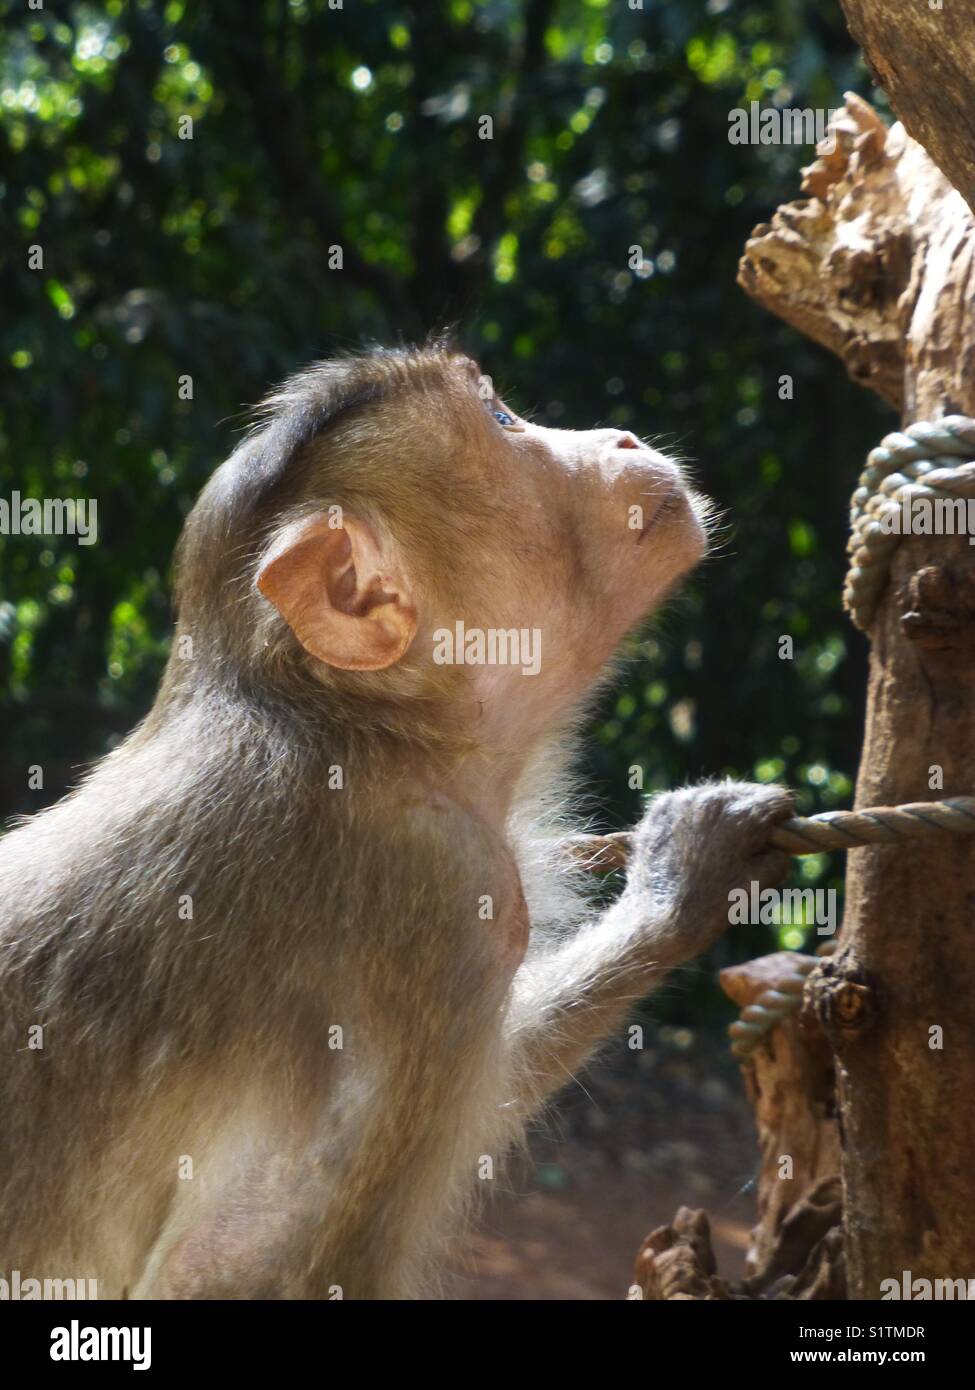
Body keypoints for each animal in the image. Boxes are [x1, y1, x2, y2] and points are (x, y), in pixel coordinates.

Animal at [0, 342, 791, 1300]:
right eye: (502, 421)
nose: (621, 437)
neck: (358, 736)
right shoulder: (442, 913)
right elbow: (227, 1266)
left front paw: (682, 894)